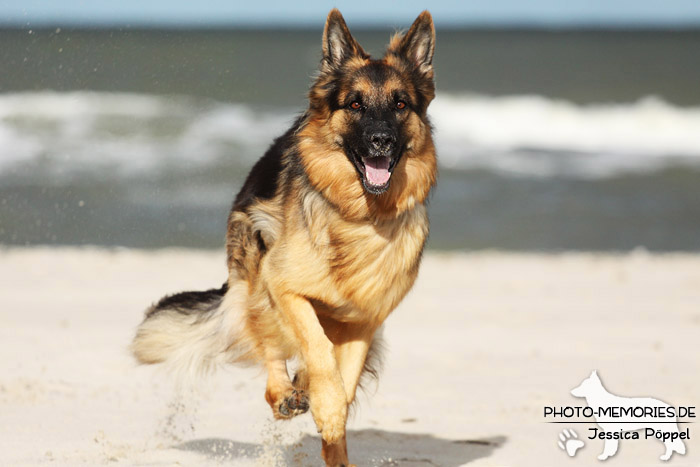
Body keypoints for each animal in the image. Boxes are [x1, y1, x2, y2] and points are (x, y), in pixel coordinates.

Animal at [131, 9, 434, 466]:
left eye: (400, 104)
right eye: (355, 104)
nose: (380, 142)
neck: (358, 215)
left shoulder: (365, 318)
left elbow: (344, 382)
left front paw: (331, 416)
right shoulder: (285, 287)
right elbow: (316, 348)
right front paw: (322, 402)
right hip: (256, 273)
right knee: (271, 348)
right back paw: (285, 395)